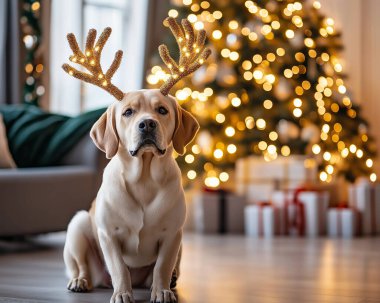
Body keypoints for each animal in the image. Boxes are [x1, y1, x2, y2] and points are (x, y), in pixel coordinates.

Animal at [63, 89, 199, 302]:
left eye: (162, 110)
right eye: (128, 112)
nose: (147, 123)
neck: (144, 180)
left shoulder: (172, 235)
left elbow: (162, 267)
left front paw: (162, 291)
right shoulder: (109, 235)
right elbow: (120, 268)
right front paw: (122, 294)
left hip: (181, 244)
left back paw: (171, 281)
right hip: (79, 224)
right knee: (82, 266)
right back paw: (80, 281)